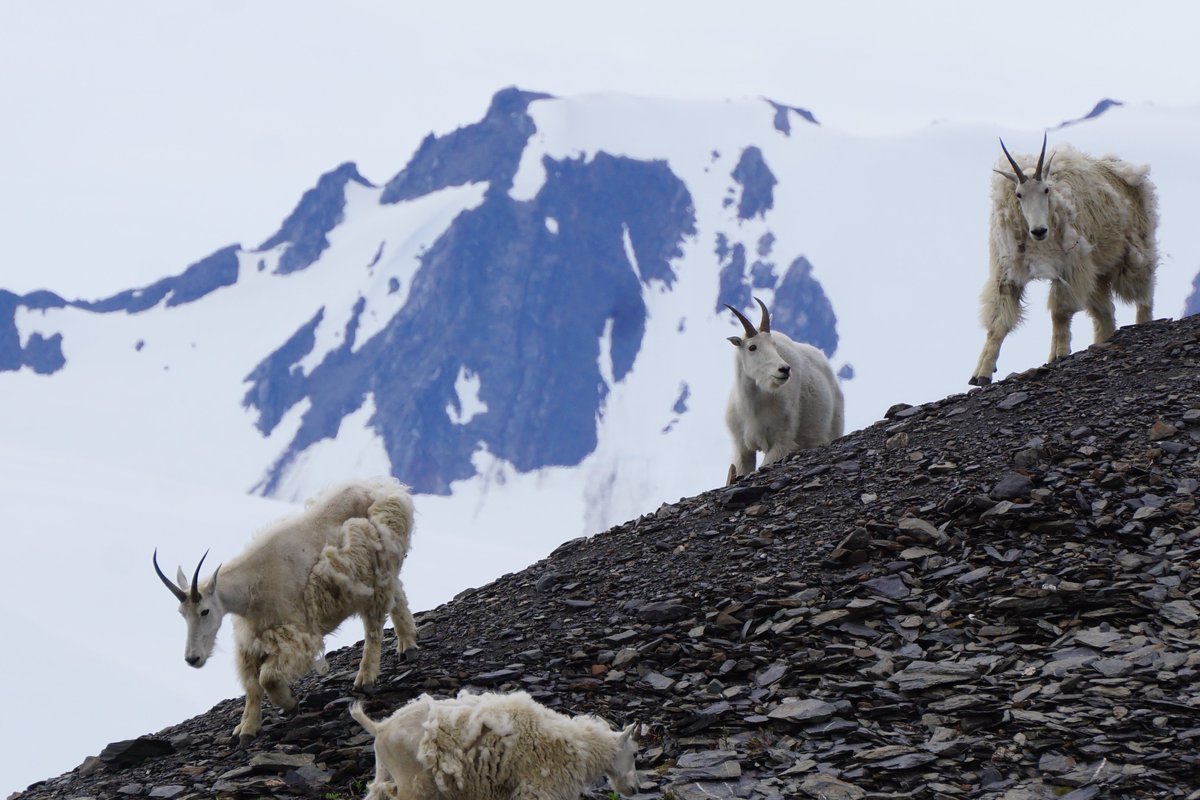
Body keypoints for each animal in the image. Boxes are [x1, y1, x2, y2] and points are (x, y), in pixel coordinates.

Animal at [153, 477, 417, 745]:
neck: (251, 586)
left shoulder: (297, 634)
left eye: (205, 611)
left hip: (375, 573)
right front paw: (247, 728)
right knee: (398, 594)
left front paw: (290, 704)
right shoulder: (253, 638)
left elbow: (267, 678)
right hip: (384, 572)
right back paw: (408, 645)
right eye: (181, 613)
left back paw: (366, 678)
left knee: (374, 626)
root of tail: (385, 487)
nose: (193, 659)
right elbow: (251, 685)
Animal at [349, 690, 639, 800]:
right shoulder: (541, 785)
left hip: (385, 770)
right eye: (634, 753)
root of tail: (379, 728)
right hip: (412, 781)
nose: (634, 788)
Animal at [725, 297, 844, 483]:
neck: (752, 407)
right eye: (752, 347)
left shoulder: (781, 442)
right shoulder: (742, 448)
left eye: (774, 345)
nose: (784, 369)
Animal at [969, 134, 1158, 385]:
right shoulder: (1008, 272)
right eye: (1019, 194)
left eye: (1046, 190)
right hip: (1098, 271)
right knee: (1104, 311)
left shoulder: (1070, 266)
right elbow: (998, 324)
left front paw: (1057, 354)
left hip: (1135, 253)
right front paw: (981, 373)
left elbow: (1060, 312)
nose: (1039, 230)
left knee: (1144, 293)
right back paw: (1102, 340)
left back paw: (1143, 323)